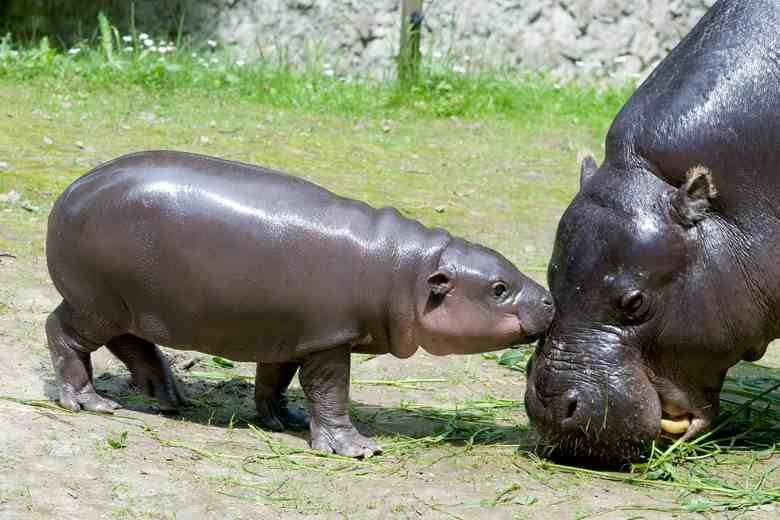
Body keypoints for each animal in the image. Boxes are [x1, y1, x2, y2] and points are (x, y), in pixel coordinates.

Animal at [44, 149, 556, 456]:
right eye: (498, 288)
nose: (551, 300)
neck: (407, 271)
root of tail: (73, 187)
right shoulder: (329, 338)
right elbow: (329, 391)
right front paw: (357, 449)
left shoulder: (291, 334)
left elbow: (275, 379)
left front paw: (282, 419)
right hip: (96, 303)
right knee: (62, 333)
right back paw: (92, 403)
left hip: (129, 306)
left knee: (131, 343)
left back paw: (170, 397)